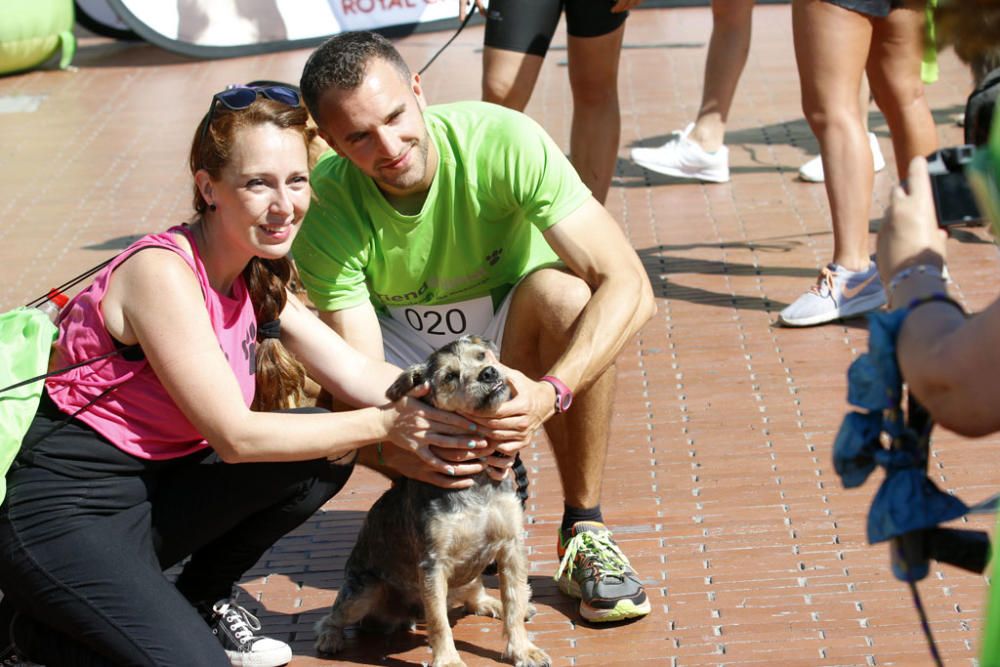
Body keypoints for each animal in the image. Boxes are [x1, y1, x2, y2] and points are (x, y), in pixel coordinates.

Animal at [314, 336, 552, 667]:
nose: (489, 373)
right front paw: (448, 660)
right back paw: (330, 638)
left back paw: (497, 604)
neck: (477, 477)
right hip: (365, 591)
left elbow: (514, 601)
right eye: (450, 376)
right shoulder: (433, 563)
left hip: (469, 577)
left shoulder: (510, 546)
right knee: (332, 617)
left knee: (478, 598)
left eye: (482, 356)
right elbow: (439, 620)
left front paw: (522, 649)